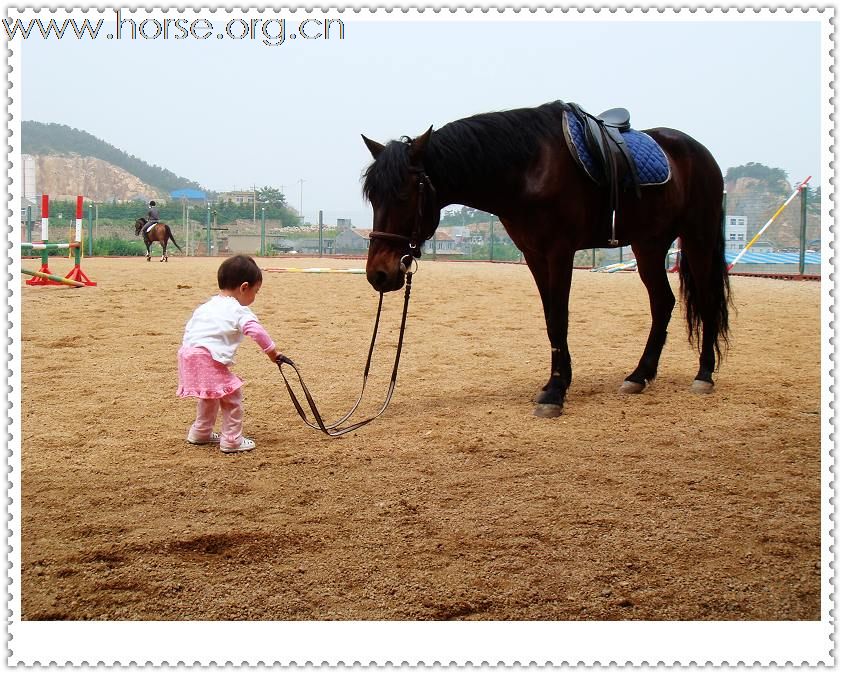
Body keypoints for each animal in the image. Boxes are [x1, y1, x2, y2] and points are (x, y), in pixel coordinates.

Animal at [360, 99, 728, 414]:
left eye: (404, 195)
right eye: (373, 197)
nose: (378, 274)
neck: (528, 167)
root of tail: (700, 152)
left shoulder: (559, 252)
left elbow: (560, 317)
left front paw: (555, 391)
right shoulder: (535, 255)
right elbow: (551, 318)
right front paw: (557, 381)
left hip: (698, 237)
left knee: (707, 299)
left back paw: (704, 374)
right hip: (649, 244)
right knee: (662, 302)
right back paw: (639, 375)